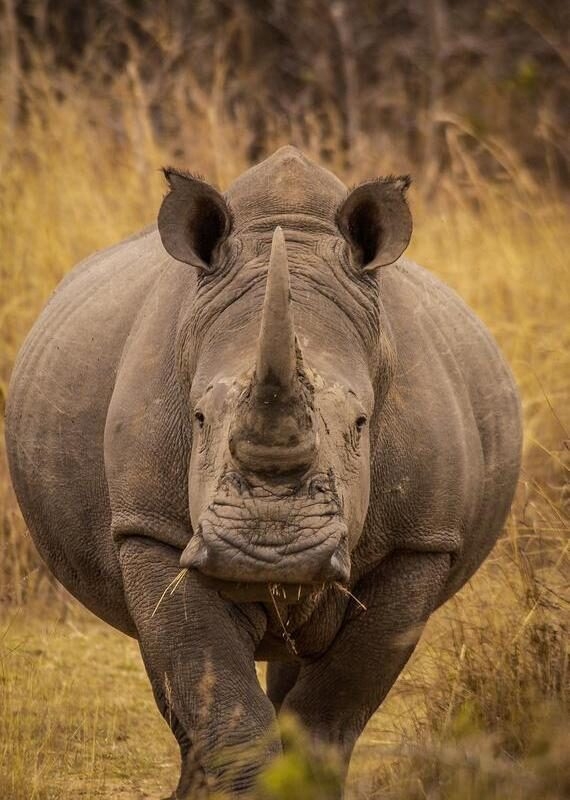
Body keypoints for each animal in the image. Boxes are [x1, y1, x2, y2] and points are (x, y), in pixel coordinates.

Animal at [5, 146, 522, 798]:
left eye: (360, 424)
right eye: (198, 418)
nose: (269, 552)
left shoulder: (421, 543)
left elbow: (331, 714)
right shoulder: (150, 529)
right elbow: (221, 706)